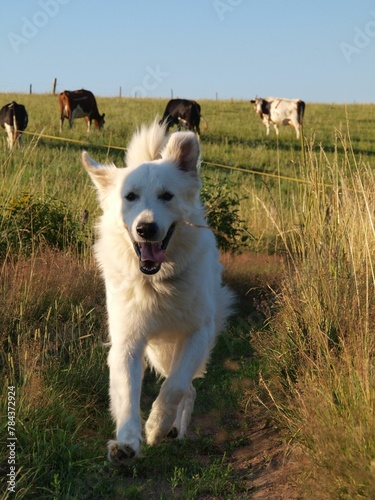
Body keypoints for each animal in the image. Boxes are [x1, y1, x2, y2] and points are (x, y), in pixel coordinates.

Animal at [83, 122, 234, 464]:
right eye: (130, 197)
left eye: (167, 196)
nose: (146, 229)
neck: (157, 281)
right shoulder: (127, 342)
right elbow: (127, 395)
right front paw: (127, 442)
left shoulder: (197, 333)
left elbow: (174, 387)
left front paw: (154, 427)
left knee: (187, 387)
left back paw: (174, 430)